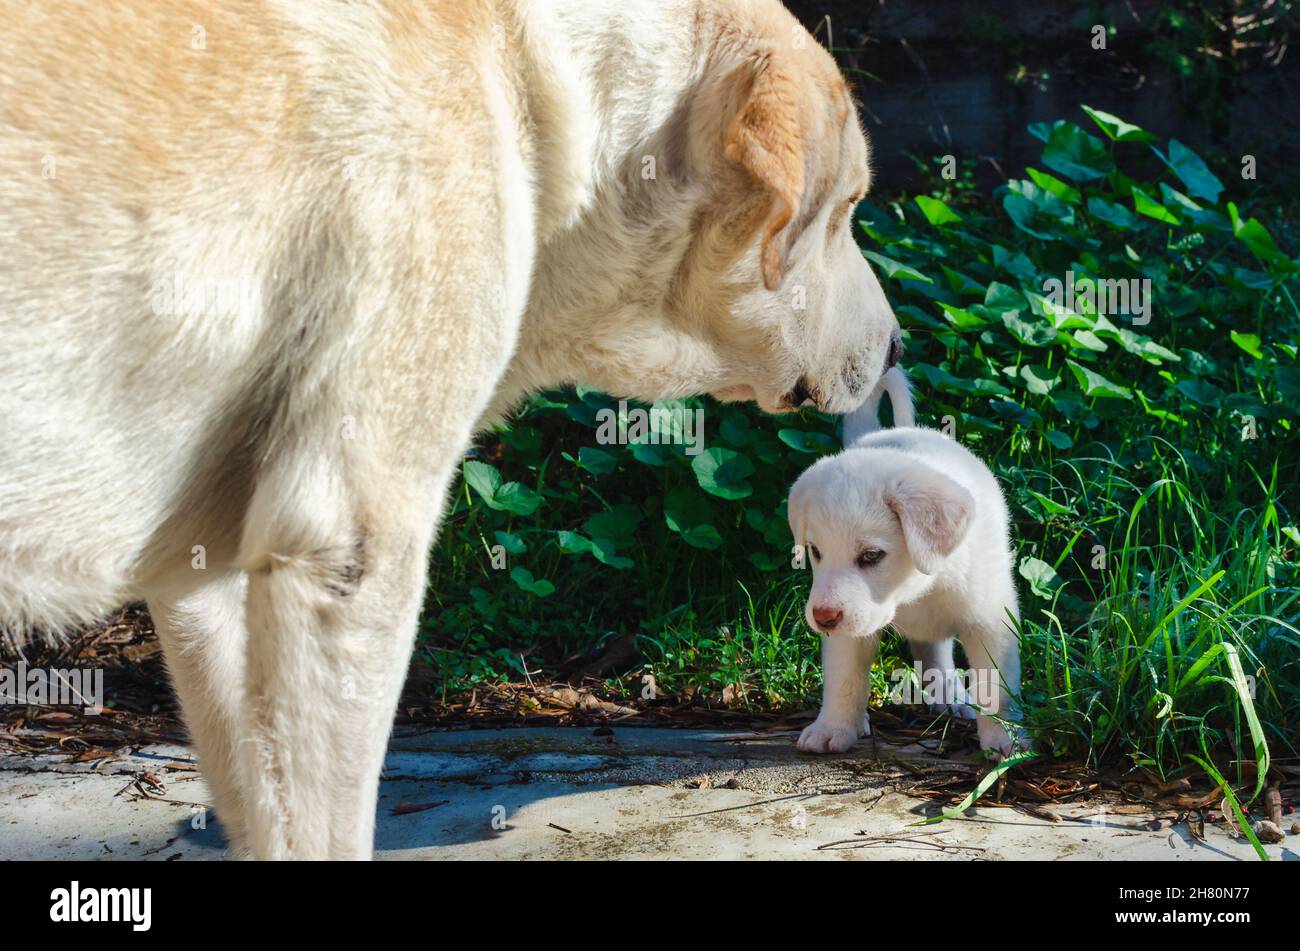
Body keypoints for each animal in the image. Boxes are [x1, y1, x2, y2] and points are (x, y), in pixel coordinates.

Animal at [780, 371, 1024, 758]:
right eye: (816, 551)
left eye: (871, 556)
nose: (823, 618)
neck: (917, 590)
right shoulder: (850, 629)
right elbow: (845, 679)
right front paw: (833, 728)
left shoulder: (991, 623)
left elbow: (996, 687)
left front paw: (1004, 740)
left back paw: (951, 697)